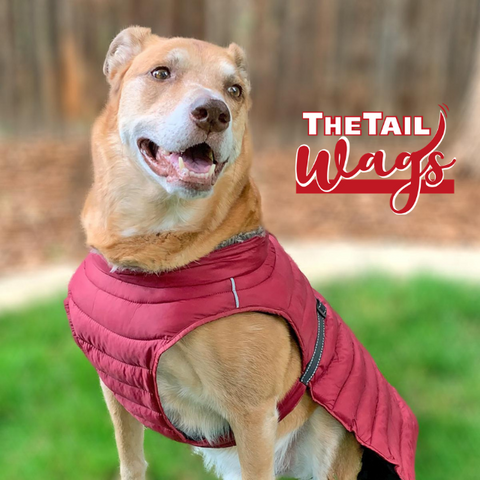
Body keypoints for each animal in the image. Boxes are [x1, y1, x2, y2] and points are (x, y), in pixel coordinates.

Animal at [66, 27, 416, 480]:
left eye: (234, 90)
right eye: (160, 73)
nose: (214, 113)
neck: (158, 253)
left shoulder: (253, 415)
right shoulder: (116, 384)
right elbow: (132, 462)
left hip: (327, 437)